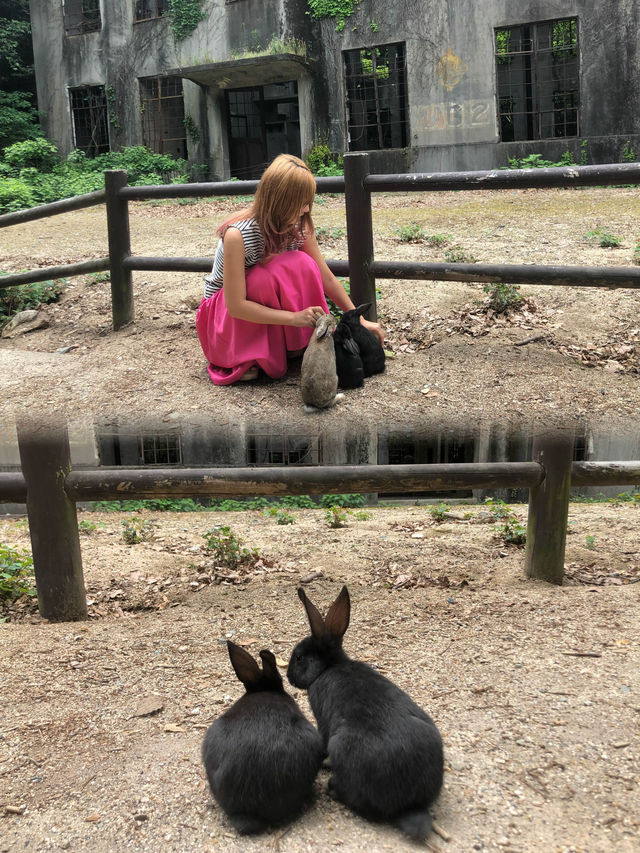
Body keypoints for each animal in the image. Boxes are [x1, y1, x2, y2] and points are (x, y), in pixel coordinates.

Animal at [288, 584, 442, 840]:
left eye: (299, 657)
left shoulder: (322, 721)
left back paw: (332, 787)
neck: (327, 668)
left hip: (343, 749)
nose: (288, 676)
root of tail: (409, 805)